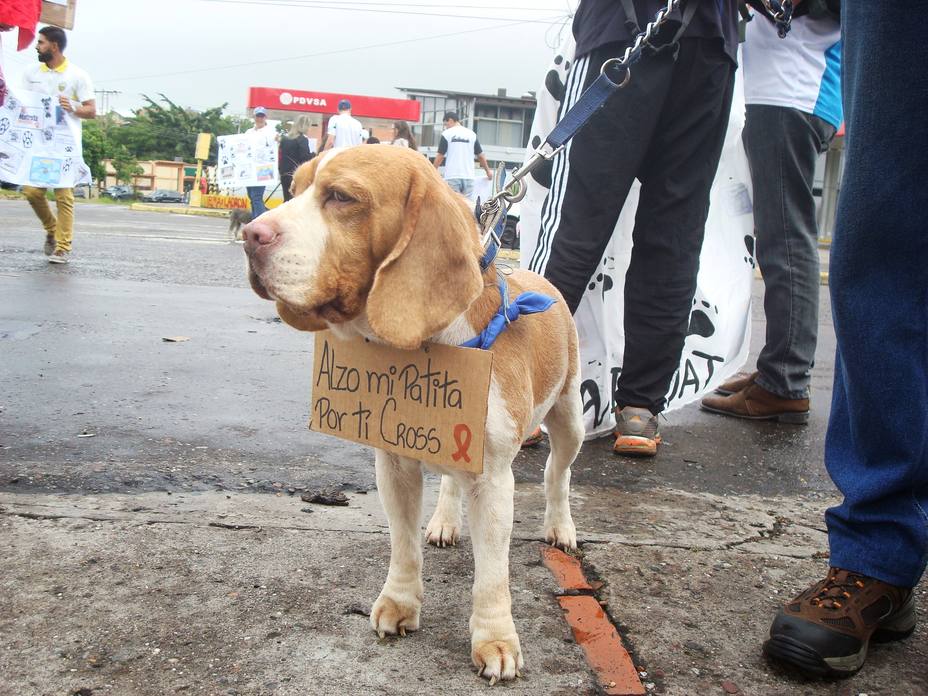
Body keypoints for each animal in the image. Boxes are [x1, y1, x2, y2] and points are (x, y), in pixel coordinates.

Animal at [243, 147, 584, 684]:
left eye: (342, 197)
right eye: (292, 189)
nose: (250, 234)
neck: (431, 341)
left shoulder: (494, 480)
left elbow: (492, 576)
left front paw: (495, 640)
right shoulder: (397, 461)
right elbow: (403, 546)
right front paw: (400, 603)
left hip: (570, 419)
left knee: (558, 474)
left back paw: (561, 526)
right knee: (450, 482)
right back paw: (444, 520)